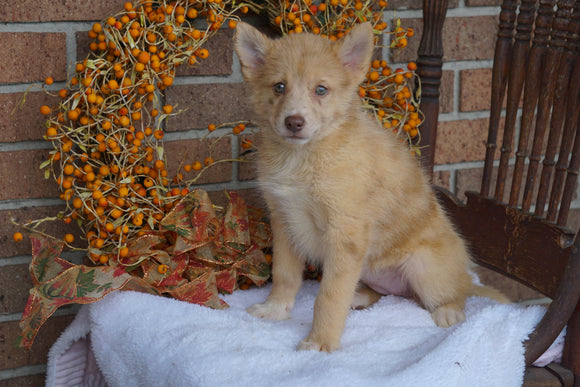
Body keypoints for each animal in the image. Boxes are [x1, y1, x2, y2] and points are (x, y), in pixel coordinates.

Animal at [233, 22, 506, 354]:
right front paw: (275, 310)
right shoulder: (284, 221)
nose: (294, 122)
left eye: (321, 90)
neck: (302, 157)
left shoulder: (345, 232)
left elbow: (329, 296)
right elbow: (284, 275)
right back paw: (361, 296)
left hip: (424, 267)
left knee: (454, 295)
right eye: (279, 87)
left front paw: (320, 342)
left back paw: (449, 311)